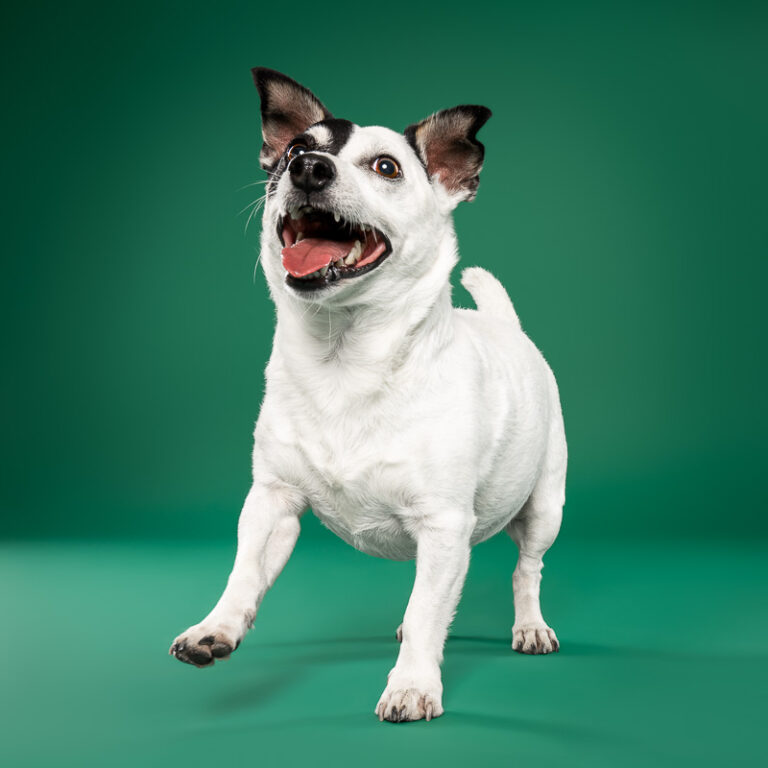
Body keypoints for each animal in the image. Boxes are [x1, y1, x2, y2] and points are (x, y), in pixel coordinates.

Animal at [172, 69, 568, 724]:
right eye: (291, 150)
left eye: (386, 167)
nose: (308, 168)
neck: (345, 362)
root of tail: (504, 325)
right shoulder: (271, 502)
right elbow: (244, 572)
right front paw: (216, 628)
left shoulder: (443, 524)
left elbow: (430, 607)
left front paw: (412, 685)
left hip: (544, 508)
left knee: (527, 570)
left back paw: (529, 626)